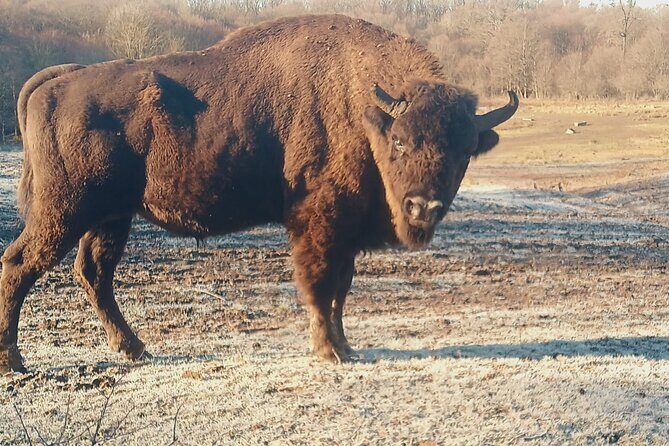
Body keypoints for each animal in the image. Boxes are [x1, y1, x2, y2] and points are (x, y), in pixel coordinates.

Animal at [0, 14, 517, 372]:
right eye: (402, 141)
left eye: (466, 151)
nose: (423, 206)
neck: (367, 111)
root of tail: (58, 80)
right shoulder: (318, 223)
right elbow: (319, 286)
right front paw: (328, 352)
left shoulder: (345, 234)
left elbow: (341, 290)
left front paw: (345, 347)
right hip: (64, 211)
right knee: (21, 264)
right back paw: (14, 362)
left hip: (111, 216)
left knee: (94, 273)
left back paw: (136, 349)